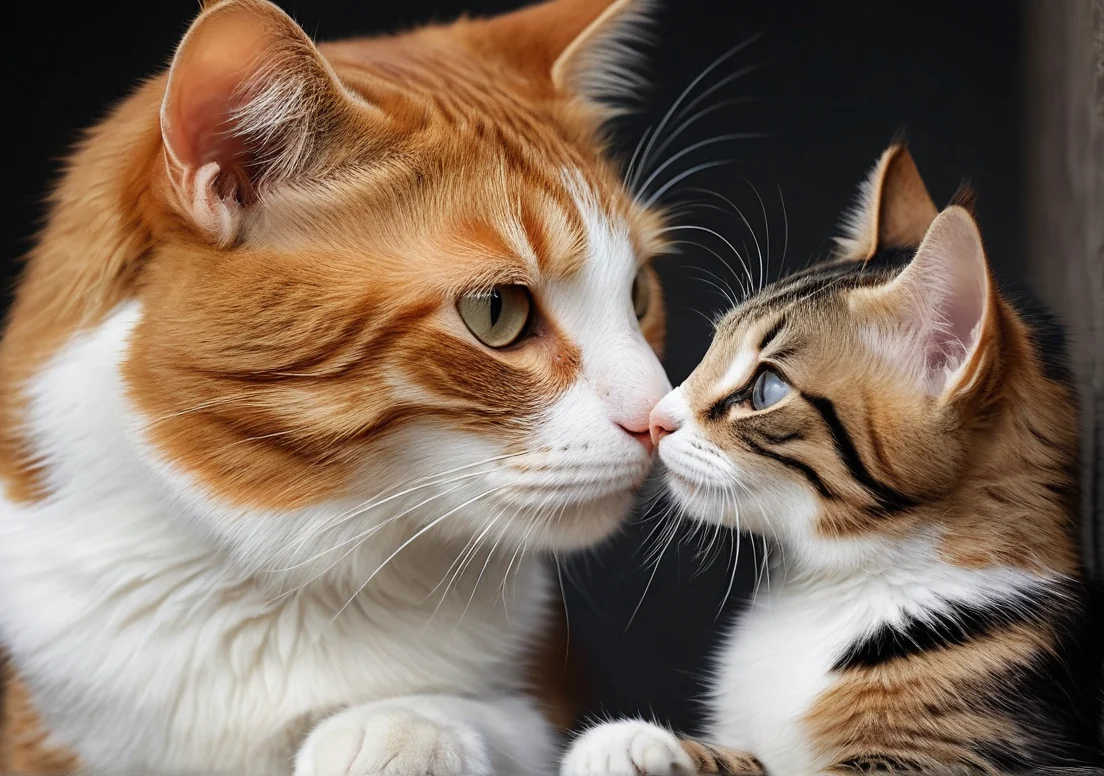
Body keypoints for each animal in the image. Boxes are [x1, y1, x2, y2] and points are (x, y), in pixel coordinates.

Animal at [0, 1, 671, 776]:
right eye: (496, 311)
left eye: (637, 292)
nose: (658, 418)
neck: (276, 582)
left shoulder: (543, 695)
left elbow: (501, 721)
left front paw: (397, 726)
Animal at [565, 144, 1099, 772]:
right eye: (714, 345)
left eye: (767, 390)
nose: (655, 418)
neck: (823, 587)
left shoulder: (950, 752)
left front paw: (628, 742)